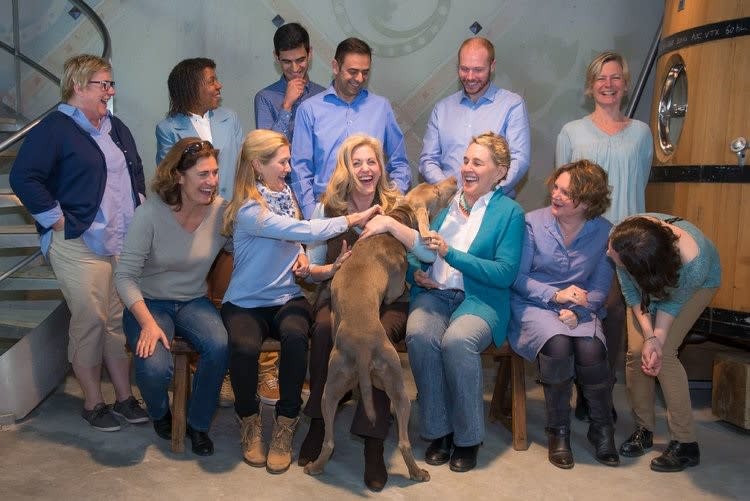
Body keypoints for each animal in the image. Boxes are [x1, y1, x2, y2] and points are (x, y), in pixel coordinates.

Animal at [304, 176, 458, 480]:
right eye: (436, 190)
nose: (454, 179)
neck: (395, 223)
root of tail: (363, 350)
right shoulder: (395, 289)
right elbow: (398, 290)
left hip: (340, 387)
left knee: (331, 441)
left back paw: (315, 466)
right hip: (396, 386)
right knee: (402, 441)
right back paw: (417, 472)